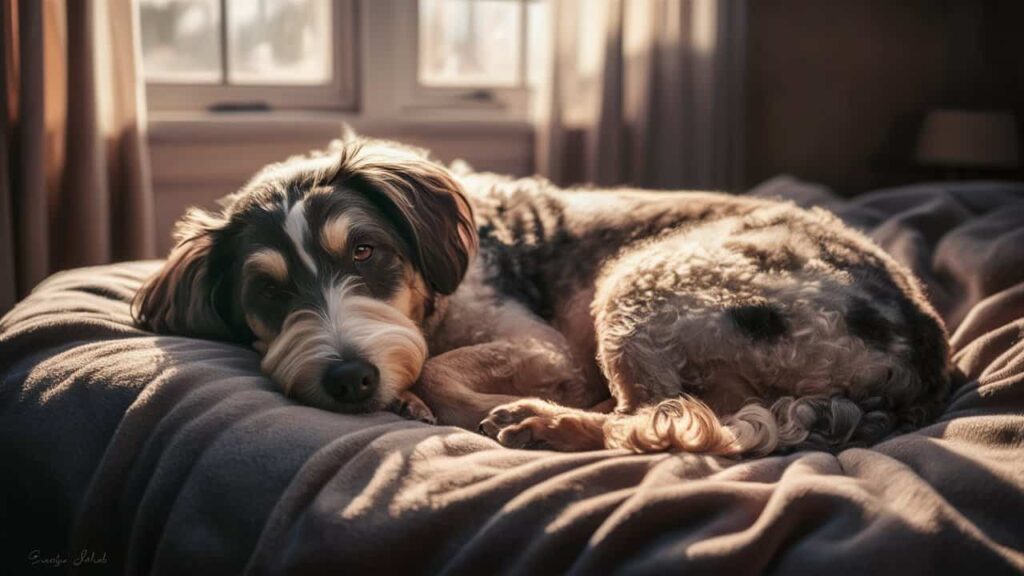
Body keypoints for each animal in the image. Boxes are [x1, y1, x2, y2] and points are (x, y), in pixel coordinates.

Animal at [134, 136, 950, 455]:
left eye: (365, 251)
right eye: (267, 292)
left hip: (646, 283)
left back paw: (545, 422)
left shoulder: (542, 342)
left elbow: (441, 368)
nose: (350, 380)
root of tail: (925, 354)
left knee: (645, 420)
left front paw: (438, 403)